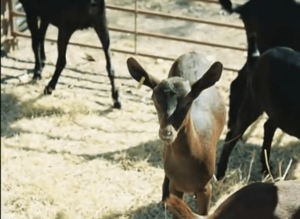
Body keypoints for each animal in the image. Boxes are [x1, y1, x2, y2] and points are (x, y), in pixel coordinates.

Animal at [126, 51, 225, 217]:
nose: (167, 132)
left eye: (189, 101)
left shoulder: (206, 188)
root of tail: (192, 53)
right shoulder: (176, 188)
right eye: (154, 98)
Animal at [217, 33, 300, 180]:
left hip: (278, 110)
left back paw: (268, 171)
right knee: (233, 133)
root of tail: (257, 58)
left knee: (268, 126)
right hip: (253, 101)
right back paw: (220, 174)